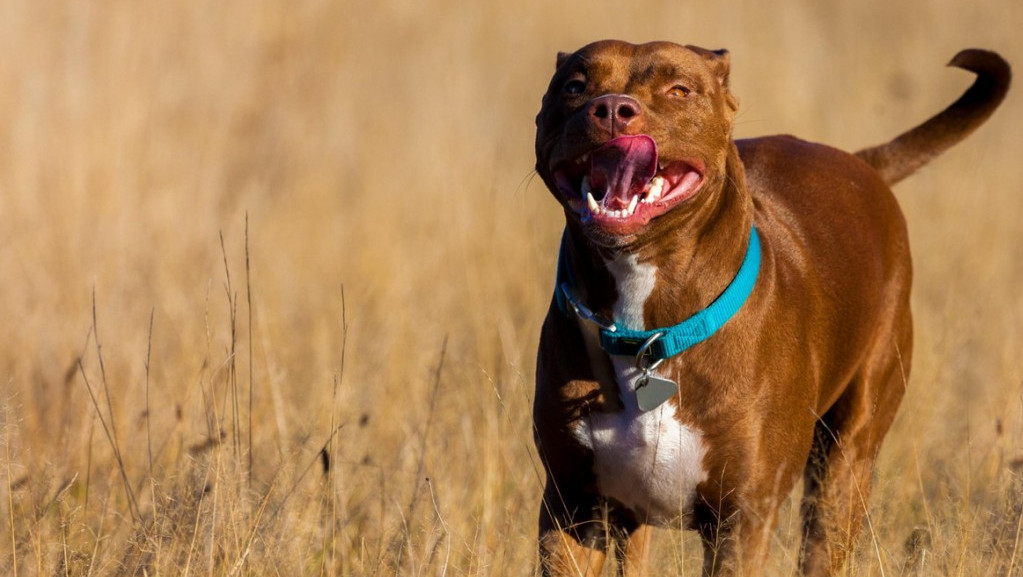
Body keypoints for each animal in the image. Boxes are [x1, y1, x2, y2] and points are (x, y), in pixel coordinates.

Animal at [531, 41, 1010, 577]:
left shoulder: (743, 519)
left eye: (680, 90)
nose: (613, 108)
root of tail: (857, 163)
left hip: (846, 463)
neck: (648, 334)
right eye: (575, 86)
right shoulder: (574, 508)